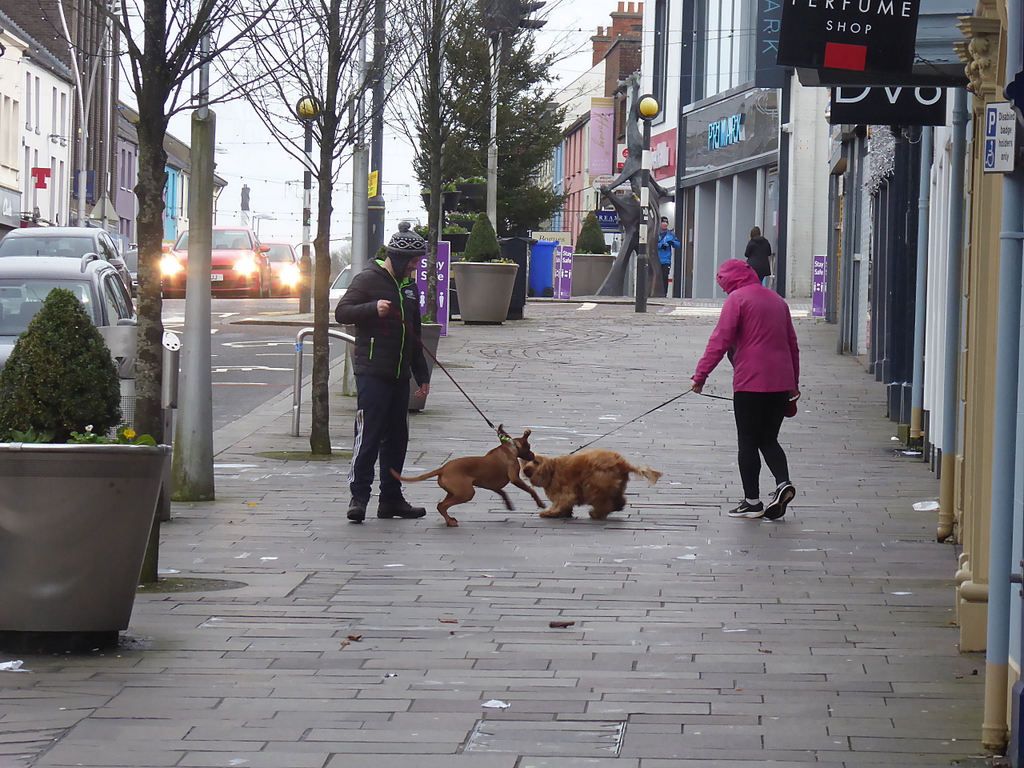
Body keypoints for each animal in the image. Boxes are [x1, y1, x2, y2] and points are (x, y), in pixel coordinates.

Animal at [391, 428, 544, 528]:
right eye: (529, 446)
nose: (533, 456)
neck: (510, 448)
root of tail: (443, 468)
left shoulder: (492, 485)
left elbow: (502, 492)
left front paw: (509, 505)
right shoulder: (514, 478)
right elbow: (531, 490)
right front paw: (540, 503)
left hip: (454, 492)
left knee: (441, 505)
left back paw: (449, 519)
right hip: (467, 493)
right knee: (442, 505)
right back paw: (450, 522)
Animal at [520, 448, 663, 520]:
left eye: (536, 462)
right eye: (526, 461)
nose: (525, 469)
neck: (552, 470)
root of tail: (622, 463)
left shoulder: (566, 491)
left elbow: (561, 502)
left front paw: (551, 512)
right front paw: (564, 513)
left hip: (596, 483)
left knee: (603, 502)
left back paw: (596, 513)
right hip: (615, 486)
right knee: (619, 500)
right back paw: (615, 507)